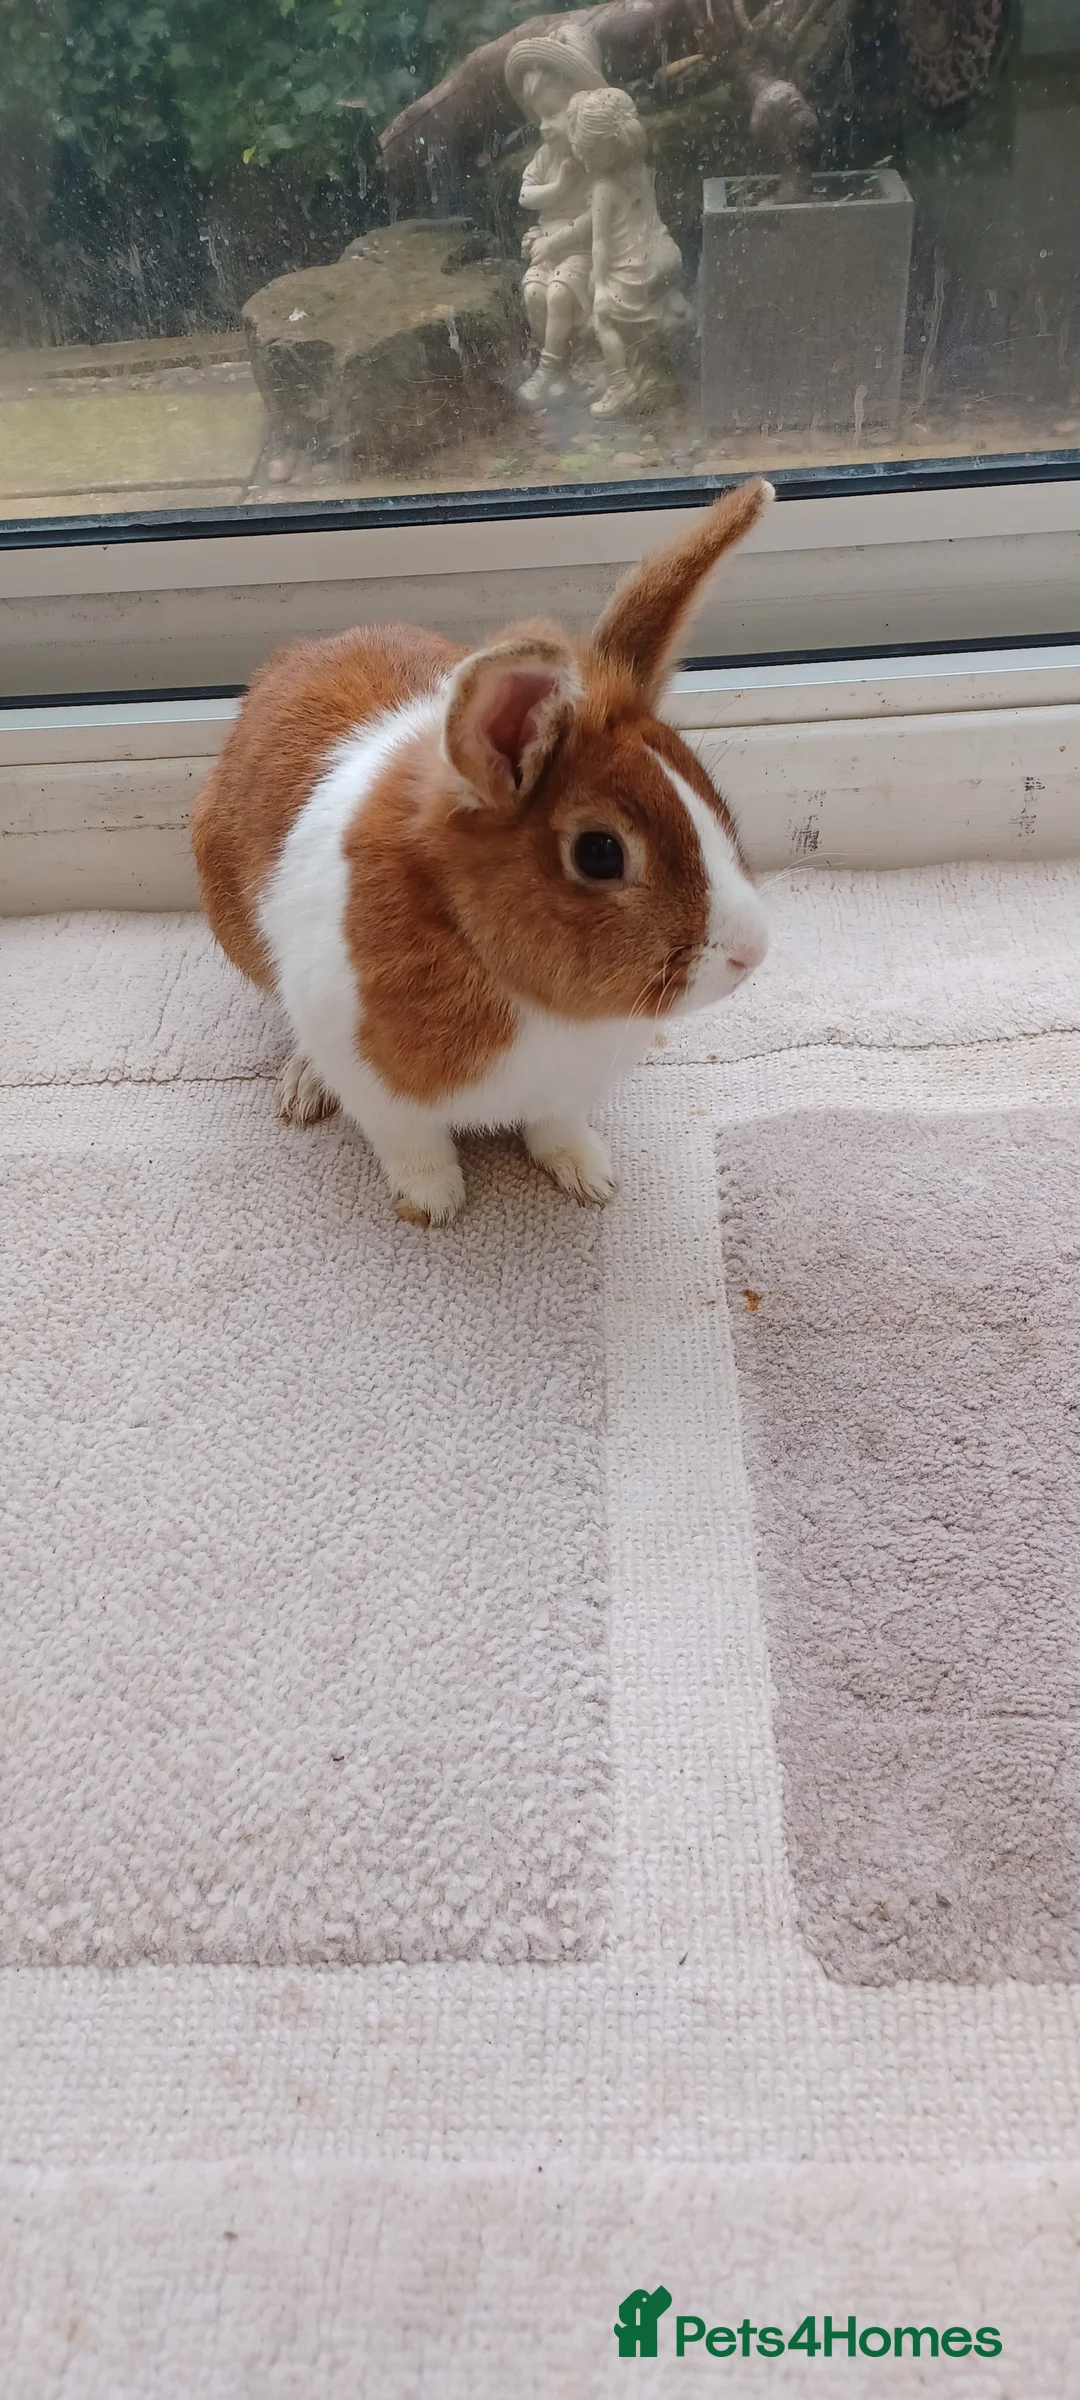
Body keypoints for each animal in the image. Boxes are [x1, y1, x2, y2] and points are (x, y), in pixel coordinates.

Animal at [192, 475, 773, 1225]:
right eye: (600, 853)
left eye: (707, 790)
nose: (752, 952)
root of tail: (294, 658)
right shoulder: (382, 1093)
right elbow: (415, 1147)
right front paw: (432, 1206)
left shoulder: (566, 1092)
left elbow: (556, 1128)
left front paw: (590, 1178)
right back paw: (304, 1087)